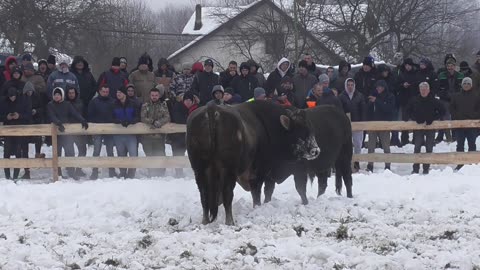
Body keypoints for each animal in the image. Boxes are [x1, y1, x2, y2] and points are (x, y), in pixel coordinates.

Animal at [186, 101, 320, 226]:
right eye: (301, 130)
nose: (316, 150)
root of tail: (213, 109)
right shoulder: (260, 171)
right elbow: (260, 192)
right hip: (228, 170)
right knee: (227, 194)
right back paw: (230, 221)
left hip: (199, 170)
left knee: (204, 195)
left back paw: (205, 221)